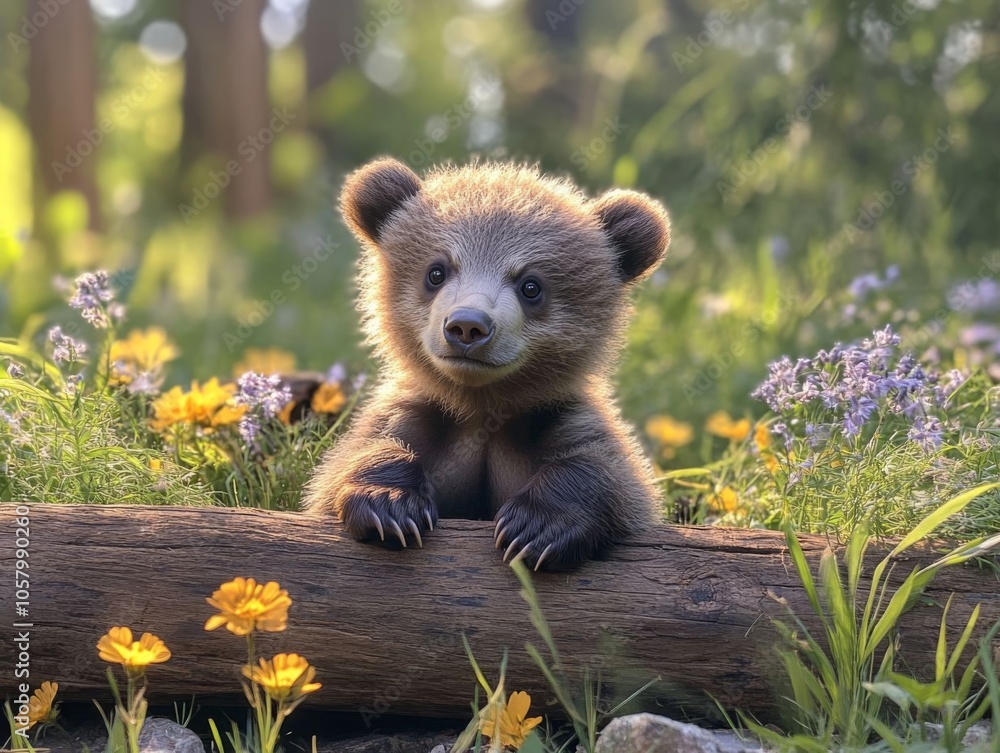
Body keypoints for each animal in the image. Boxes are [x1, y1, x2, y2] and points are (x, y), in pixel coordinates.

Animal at [304, 157, 670, 570]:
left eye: (531, 285)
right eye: (436, 271)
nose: (467, 326)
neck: (481, 406)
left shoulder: (553, 418)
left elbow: (608, 470)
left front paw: (534, 529)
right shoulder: (424, 416)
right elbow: (358, 455)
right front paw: (389, 506)